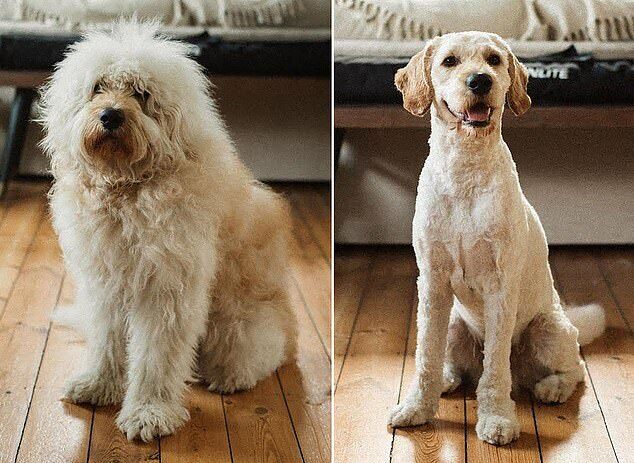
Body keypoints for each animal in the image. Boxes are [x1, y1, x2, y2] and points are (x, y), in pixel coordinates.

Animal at [38, 20, 296, 442]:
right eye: (97, 87)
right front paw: (98, 385)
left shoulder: (166, 290)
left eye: (141, 94)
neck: (128, 190)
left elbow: (156, 360)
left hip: (241, 327)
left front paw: (149, 413)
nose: (110, 115)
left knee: (255, 356)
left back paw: (230, 376)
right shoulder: (105, 285)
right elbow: (106, 342)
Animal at [388, 31, 604, 446]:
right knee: (453, 362)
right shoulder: (433, 283)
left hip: (548, 329)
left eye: (493, 60)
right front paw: (417, 408)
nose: (479, 81)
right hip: (454, 324)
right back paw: (448, 378)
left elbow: (495, 370)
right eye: (450, 61)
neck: (465, 172)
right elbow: (425, 357)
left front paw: (498, 418)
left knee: (576, 368)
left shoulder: (500, 287)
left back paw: (552, 388)